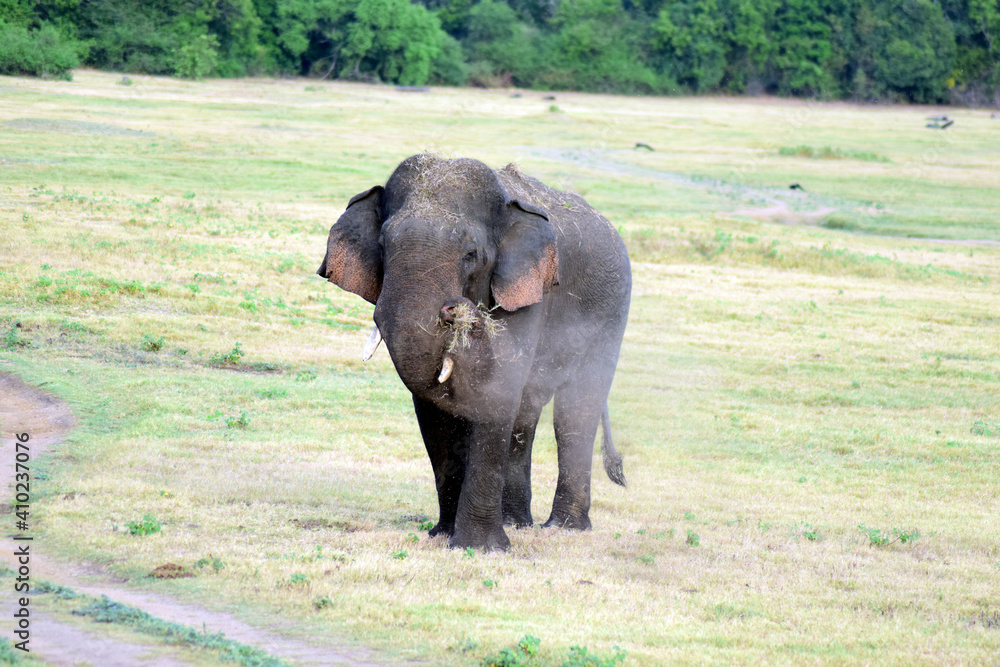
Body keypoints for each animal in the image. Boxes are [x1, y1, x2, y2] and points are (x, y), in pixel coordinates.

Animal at [318, 154, 632, 552]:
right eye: (384, 246)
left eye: (471, 255)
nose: (455, 311)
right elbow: (433, 405)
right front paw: (442, 535)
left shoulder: (527, 293)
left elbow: (499, 391)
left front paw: (480, 548)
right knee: (527, 415)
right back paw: (517, 523)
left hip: (610, 312)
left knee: (576, 411)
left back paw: (564, 528)